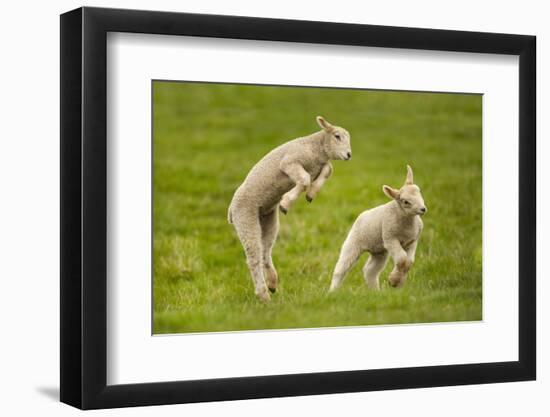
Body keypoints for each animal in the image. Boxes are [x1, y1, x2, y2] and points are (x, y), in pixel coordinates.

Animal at [230, 115, 354, 300]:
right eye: (337, 136)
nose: (349, 155)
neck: (315, 148)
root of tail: (231, 210)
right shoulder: (289, 162)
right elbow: (305, 179)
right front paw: (286, 202)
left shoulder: (319, 165)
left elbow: (327, 170)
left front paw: (311, 194)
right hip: (245, 217)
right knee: (253, 257)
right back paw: (263, 295)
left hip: (267, 218)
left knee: (265, 251)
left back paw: (272, 283)